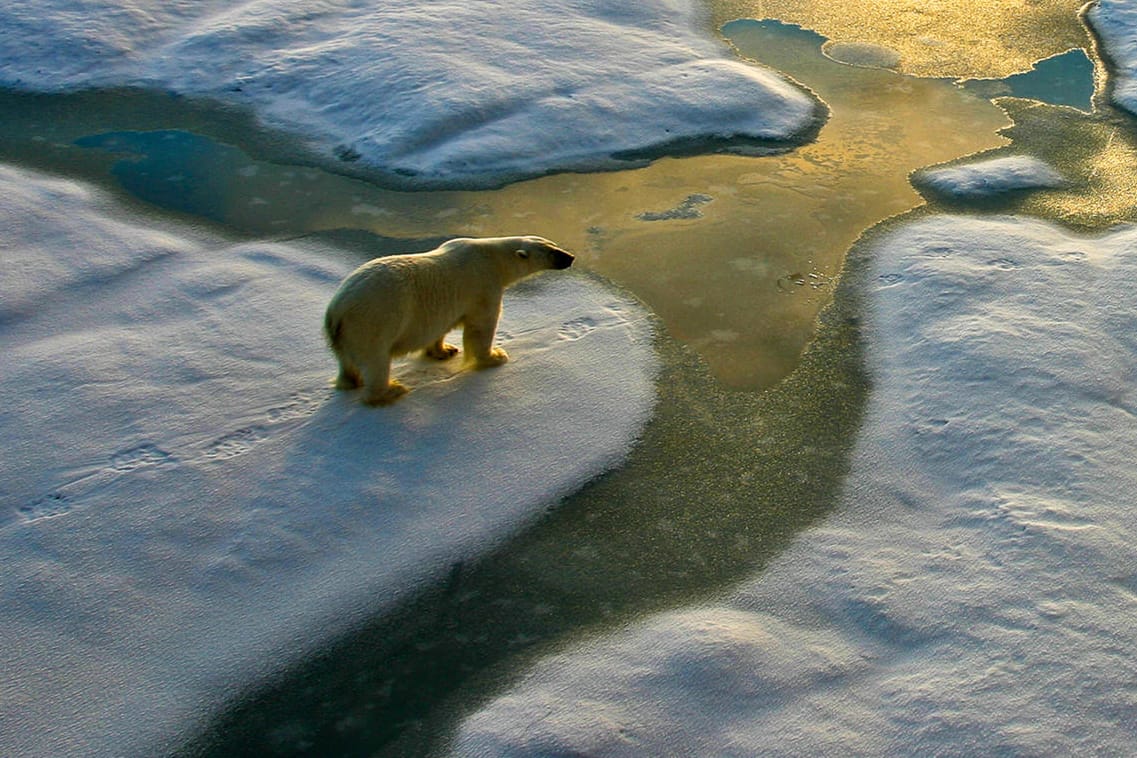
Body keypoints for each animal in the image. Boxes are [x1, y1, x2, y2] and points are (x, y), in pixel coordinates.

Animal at [329, 235, 577, 406]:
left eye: (554, 244)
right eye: (551, 251)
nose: (571, 257)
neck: (492, 257)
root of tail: (336, 311)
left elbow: (441, 328)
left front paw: (445, 350)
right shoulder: (483, 285)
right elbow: (481, 327)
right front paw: (495, 356)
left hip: (346, 335)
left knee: (347, 362)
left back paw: (352, 381)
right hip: (373, 322)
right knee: (376, 361)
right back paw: (392, 391)